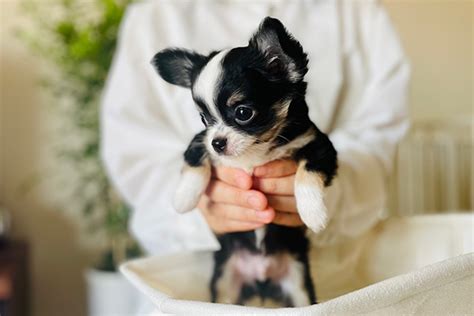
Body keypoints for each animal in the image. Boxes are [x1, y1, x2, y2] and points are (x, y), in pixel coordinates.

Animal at [152, 16, 336, 306]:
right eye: (204, 118)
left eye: (243, 113)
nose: (218, 142)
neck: (254, 150)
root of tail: (261, 278)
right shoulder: (200, 141)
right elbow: (195, 161)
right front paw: (184, 198)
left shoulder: (319, 146)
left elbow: (307, 173)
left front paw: (313, 213)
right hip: (225, 282)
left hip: (298, 283)